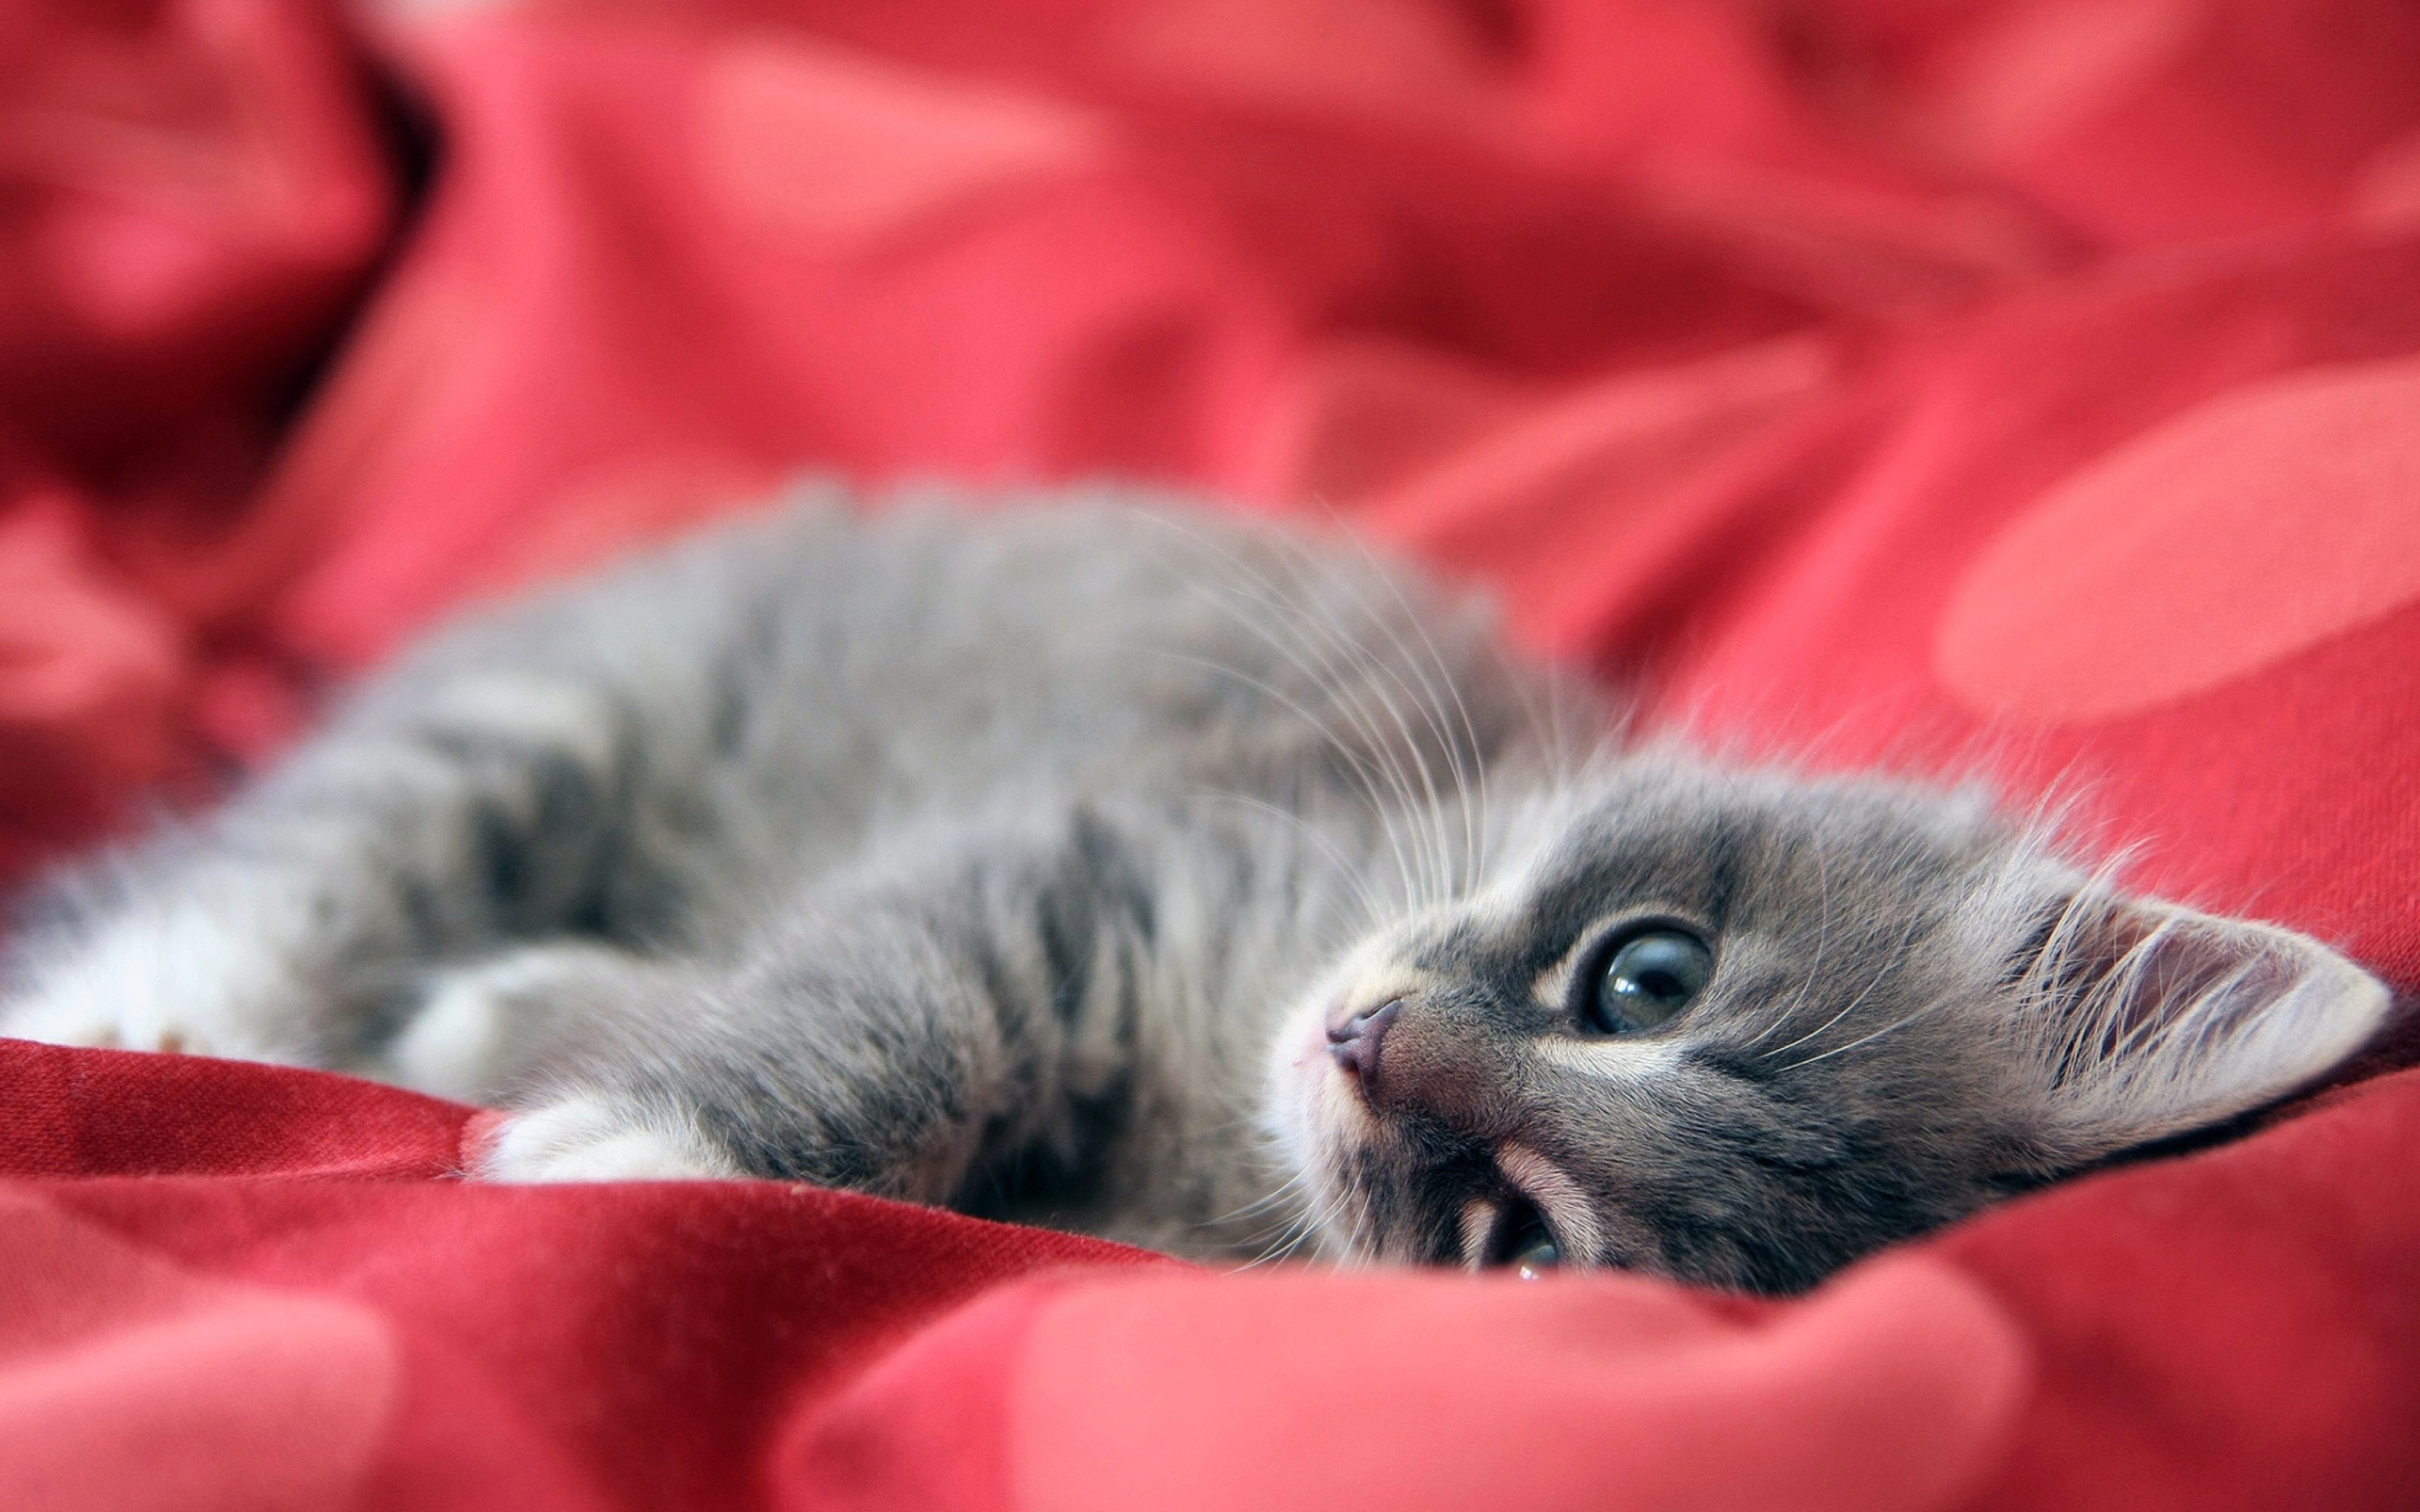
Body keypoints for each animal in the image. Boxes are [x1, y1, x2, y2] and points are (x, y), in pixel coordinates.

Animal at [0, 484, 2381, 1286]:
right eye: (1643, 974)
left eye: (1519, 1241)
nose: (1368, 1043)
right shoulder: (1083, 858)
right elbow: (878, 1001)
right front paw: (648, 1142)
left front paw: (555, 1058)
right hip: (554, 710)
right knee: (297, 856)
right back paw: (135, 1014)